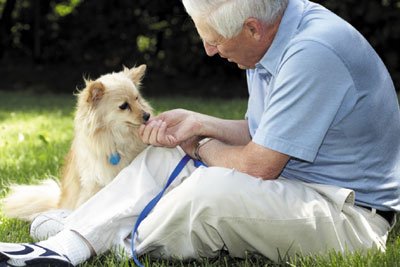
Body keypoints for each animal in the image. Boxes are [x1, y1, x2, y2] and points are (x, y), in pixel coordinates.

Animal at [1, 65, 152, 222]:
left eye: (137, 99)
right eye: (123, 106)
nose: (147, 115)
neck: (116, 138)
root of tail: (58, 203)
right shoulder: (94, 183)